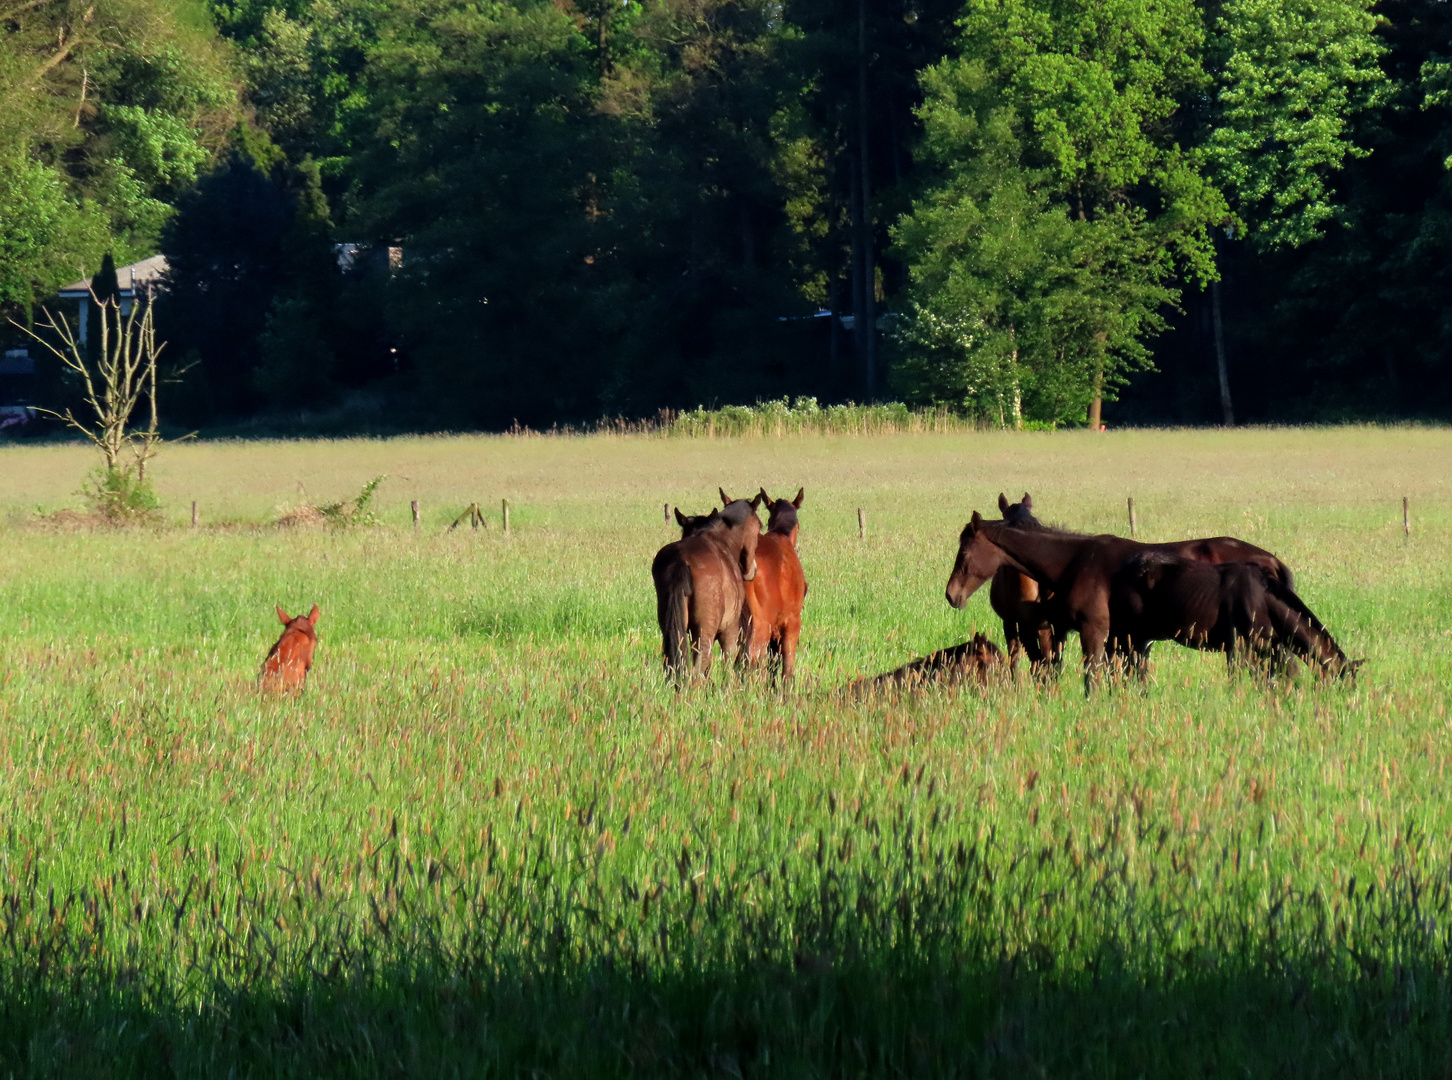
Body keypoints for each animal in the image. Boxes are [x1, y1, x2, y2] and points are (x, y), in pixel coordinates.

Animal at [946, 513, 1353, 690]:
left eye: (964, 553)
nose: (952, 594)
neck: (1075, 561)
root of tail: (1270, 562)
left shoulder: (1094, 632)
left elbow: (1092, 679)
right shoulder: (1123, 637)